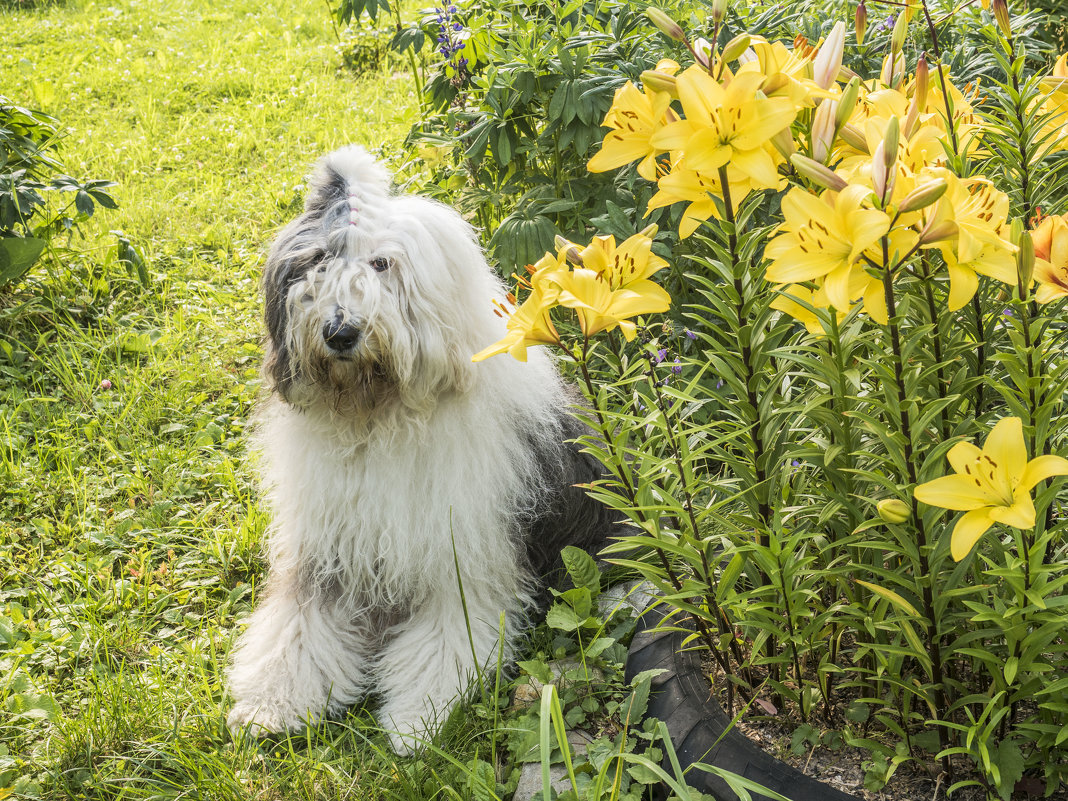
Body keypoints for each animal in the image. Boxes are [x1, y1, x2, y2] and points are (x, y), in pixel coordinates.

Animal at [229, 147, 623, 756]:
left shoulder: (461, 557)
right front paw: (271, 703)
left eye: (382, 265)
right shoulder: (327, 549)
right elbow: (299, 626)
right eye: (317, 262)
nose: (340, 332)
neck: (376, 419)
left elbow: (444, 638)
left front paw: (417, 721)